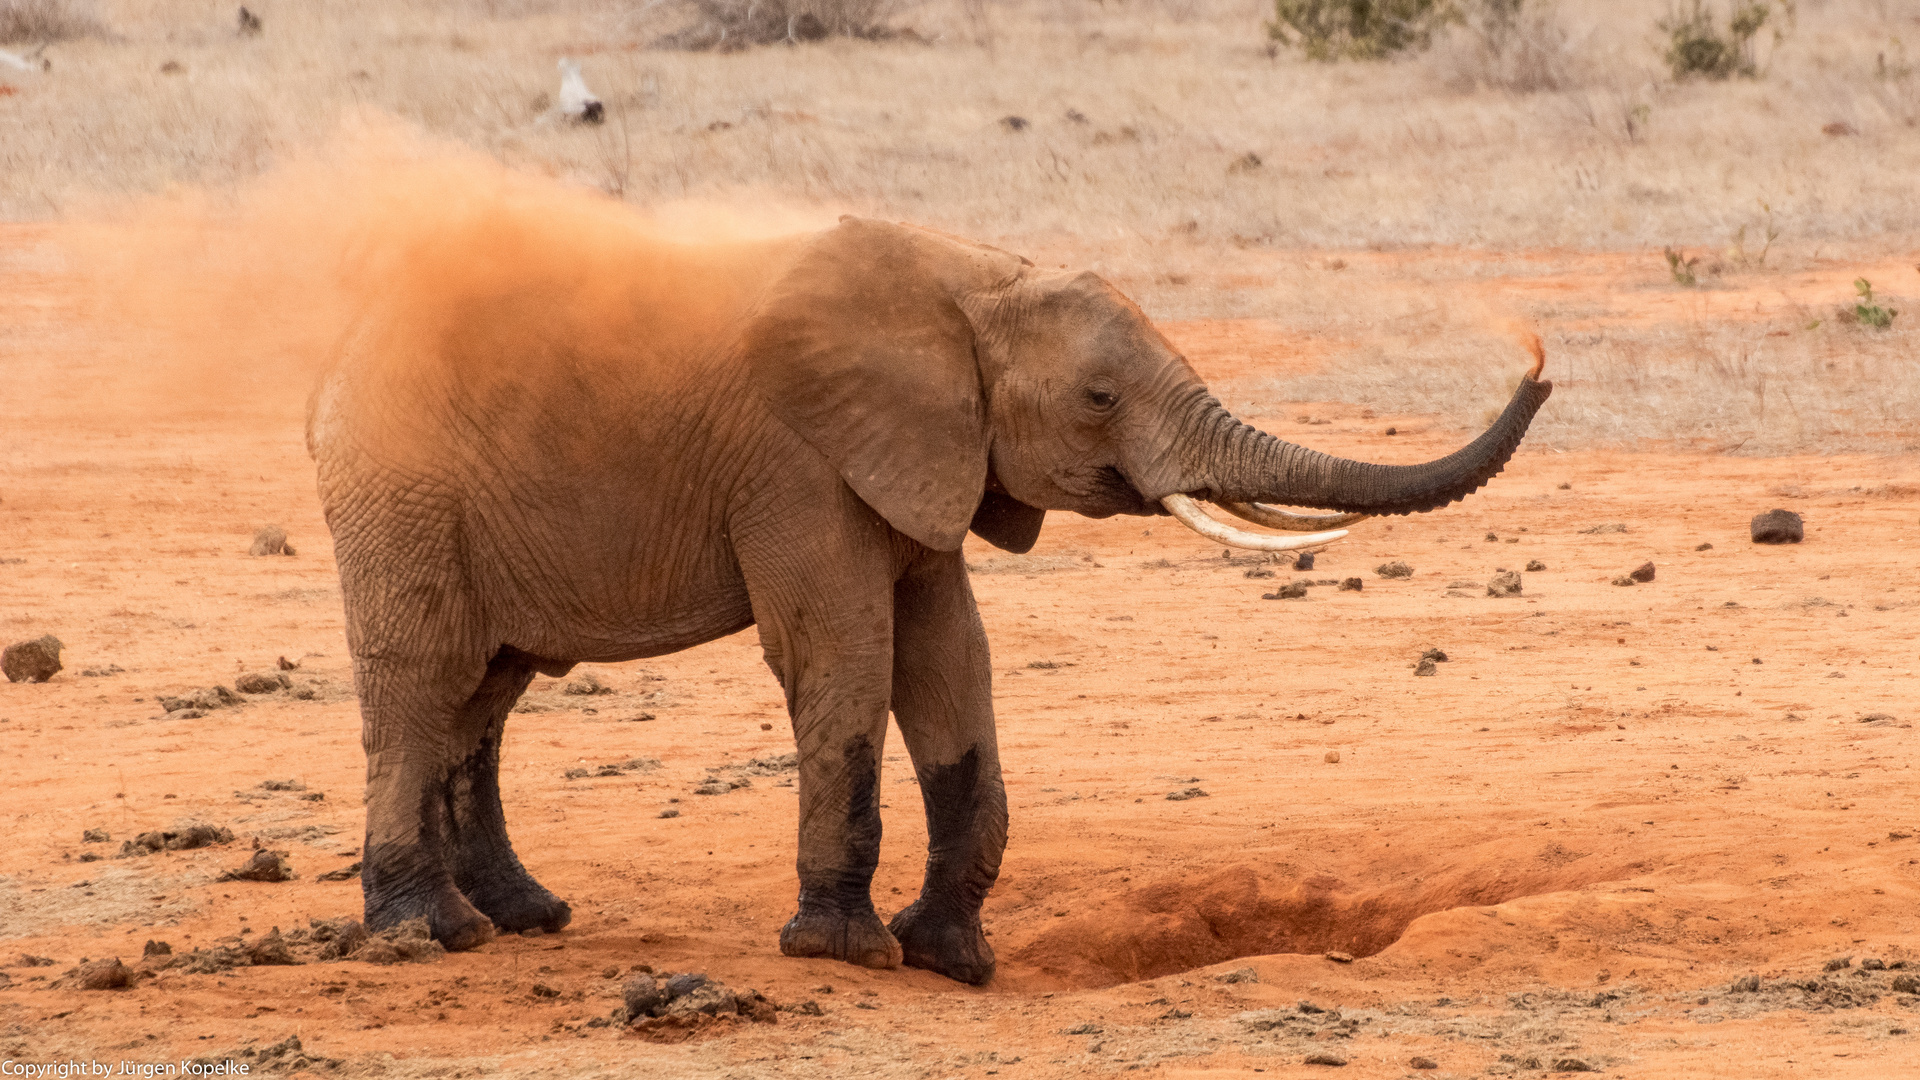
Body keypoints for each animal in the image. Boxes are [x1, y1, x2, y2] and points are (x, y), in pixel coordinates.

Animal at [307, 212, 1551, 983]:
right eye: (1100, 398)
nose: (1537, 357)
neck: (974, 282)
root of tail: (328, 376)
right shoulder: (799, 463)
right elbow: (845, 656)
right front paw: (845, 952)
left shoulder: (926, 459)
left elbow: (951, 661)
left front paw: (952, 960)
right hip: (402, 486)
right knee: (424, 680)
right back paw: (428, 937)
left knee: (487, 694)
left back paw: (522, 919)